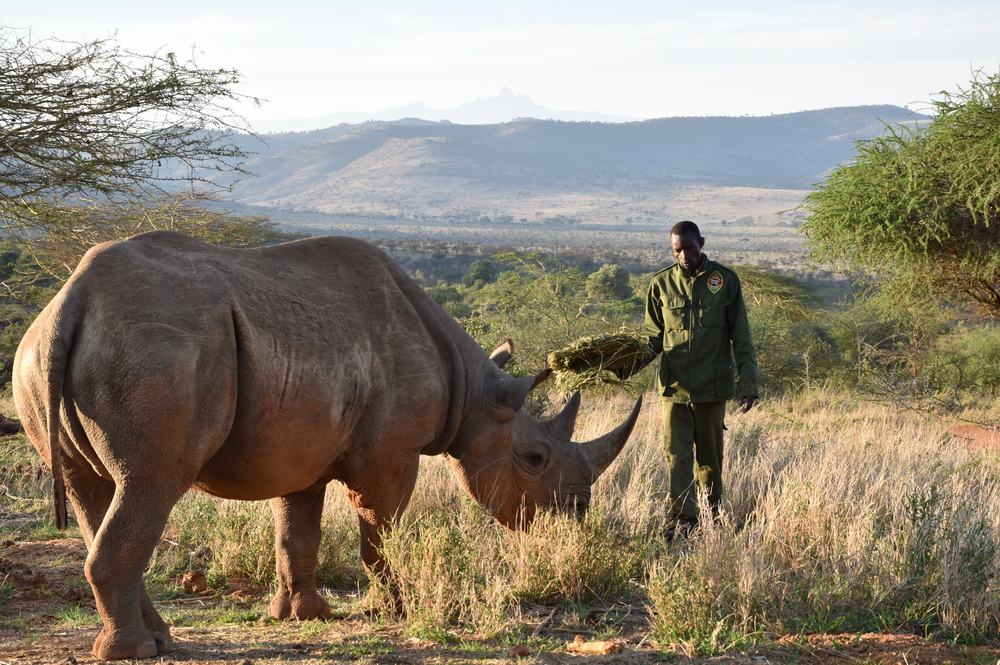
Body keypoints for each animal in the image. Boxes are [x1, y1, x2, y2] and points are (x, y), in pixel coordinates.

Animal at [13, 232, 640, 660]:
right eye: (534, 460)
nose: (577, 515)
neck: (477, 395)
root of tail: (72, 299)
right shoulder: (391, 453)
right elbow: (379, 529)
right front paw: (395, 608)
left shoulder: (303, 449)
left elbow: (298, 532)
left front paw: (304, 615)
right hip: (156, 352)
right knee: (149, 482)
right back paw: (137, 651)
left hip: (42, 355)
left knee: (95, 489)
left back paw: (158, 639)